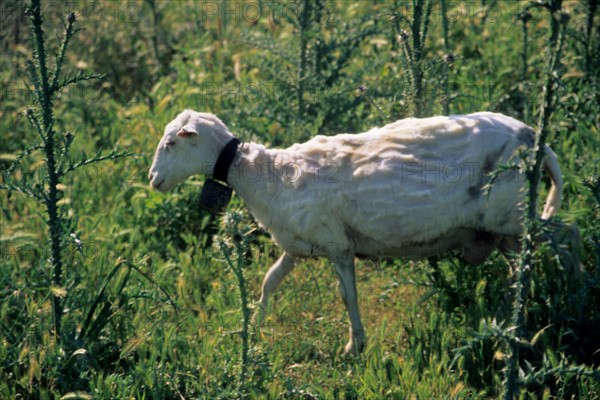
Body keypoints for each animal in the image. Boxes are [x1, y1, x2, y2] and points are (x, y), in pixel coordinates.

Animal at [149, 108, 564, 354]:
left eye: (170, 143)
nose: (152, 179)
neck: (267, 175)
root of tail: (533, 138)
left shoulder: (337, 244)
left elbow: (348, 297)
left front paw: (355, 347)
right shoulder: (299, 243)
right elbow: (270, 281)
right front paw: (252, 325)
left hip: (513, 216)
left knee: (566, 239)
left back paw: (562, 293)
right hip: (505, 228)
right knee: (520, 266)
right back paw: (516, 312)